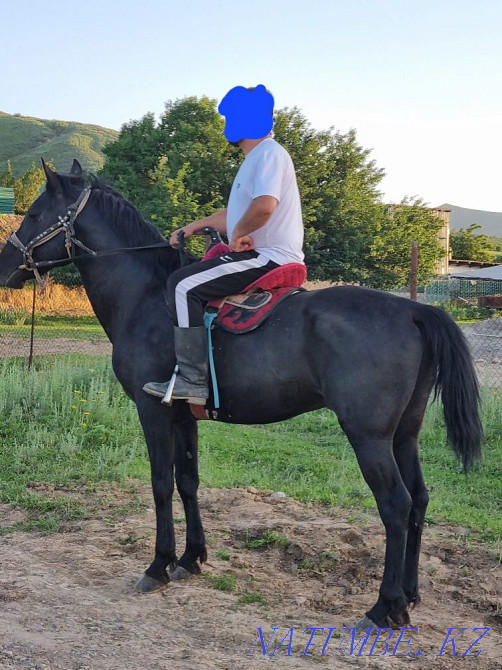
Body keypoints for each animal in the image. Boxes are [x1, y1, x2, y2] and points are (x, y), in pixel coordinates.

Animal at [0, 160, 482, 631]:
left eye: (34, 214)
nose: (5, 263)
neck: (146, 296)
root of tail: (415, 309)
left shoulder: (152, 410)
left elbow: (160, 484)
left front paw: (158, 565)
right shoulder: (183, 415)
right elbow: (187, 481)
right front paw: (190, 559)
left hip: (369, 437)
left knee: (396, 505)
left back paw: (385, 607)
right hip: (404, 434)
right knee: (419, 500)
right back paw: (410, 596)